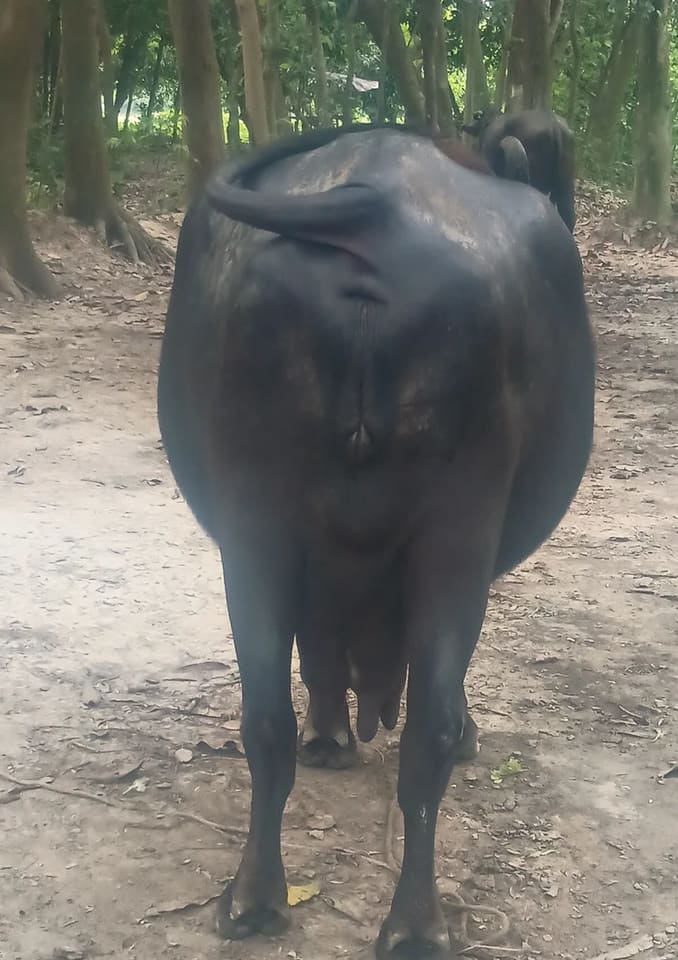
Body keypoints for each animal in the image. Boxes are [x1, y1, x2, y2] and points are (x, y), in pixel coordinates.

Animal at [158, 125, 594, 959]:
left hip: (255, 520)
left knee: (270, 715)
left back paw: (257, 898)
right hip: (457, 531)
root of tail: (375, 204)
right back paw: (415, 920)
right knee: (429, 726)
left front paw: (329, 735)